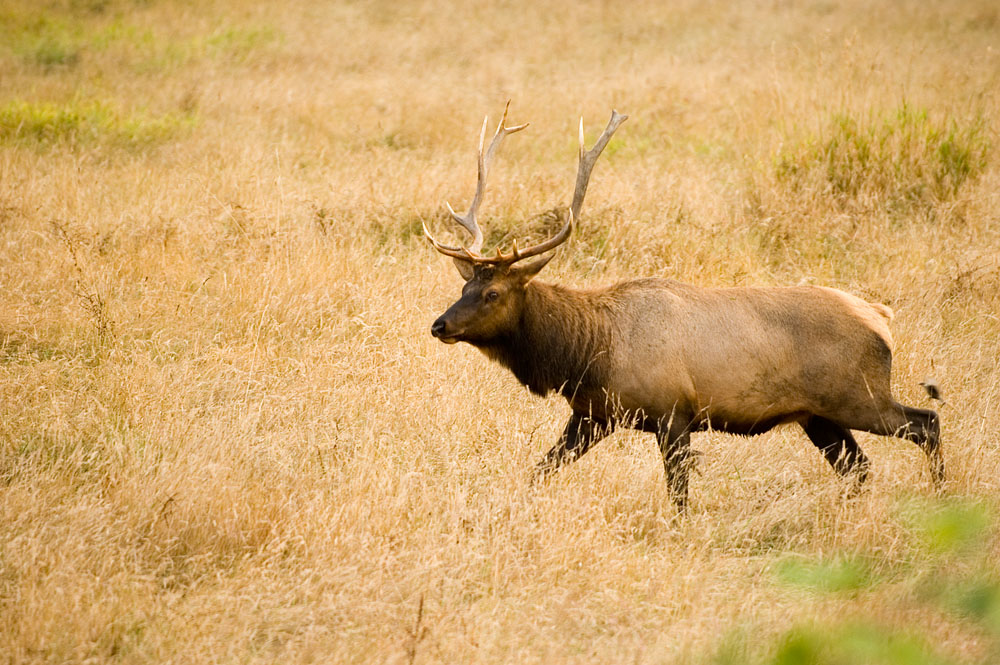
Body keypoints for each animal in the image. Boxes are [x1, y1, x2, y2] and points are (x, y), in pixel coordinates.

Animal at [424, 102, 944, 508]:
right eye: (464, 288)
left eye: (492, 293)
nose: (439, 325)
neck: (586, 352)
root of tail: (881, 317)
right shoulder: (593, 416)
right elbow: (541, 469)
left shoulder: (673, 414)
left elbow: (679, 495)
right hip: (820, 416)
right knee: (860, 468)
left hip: (858, 396)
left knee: (927, 423)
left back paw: (941, 496)